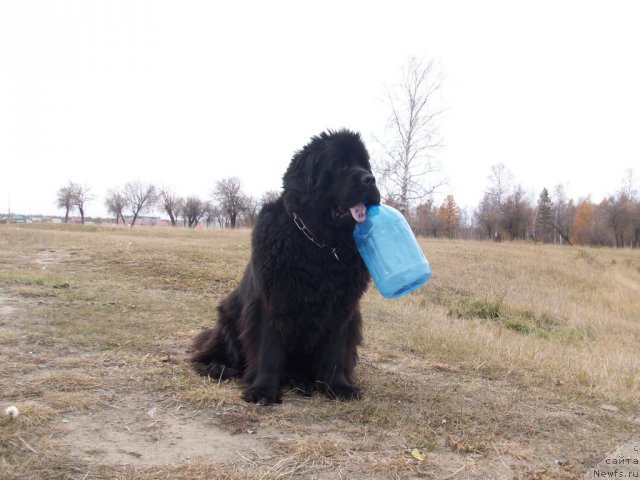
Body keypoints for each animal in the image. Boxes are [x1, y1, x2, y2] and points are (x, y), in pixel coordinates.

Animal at [190, 129, 380, 404]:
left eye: (365, 165)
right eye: (341, 165)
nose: (371, 179)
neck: (320, 244)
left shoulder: (342, 307)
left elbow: (334, 352)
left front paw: (337, 386)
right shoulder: (271, 301)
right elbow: (269, 351)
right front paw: (263, 390)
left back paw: (302, 382)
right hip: (228, 318)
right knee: (209, 354)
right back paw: (218, 367)